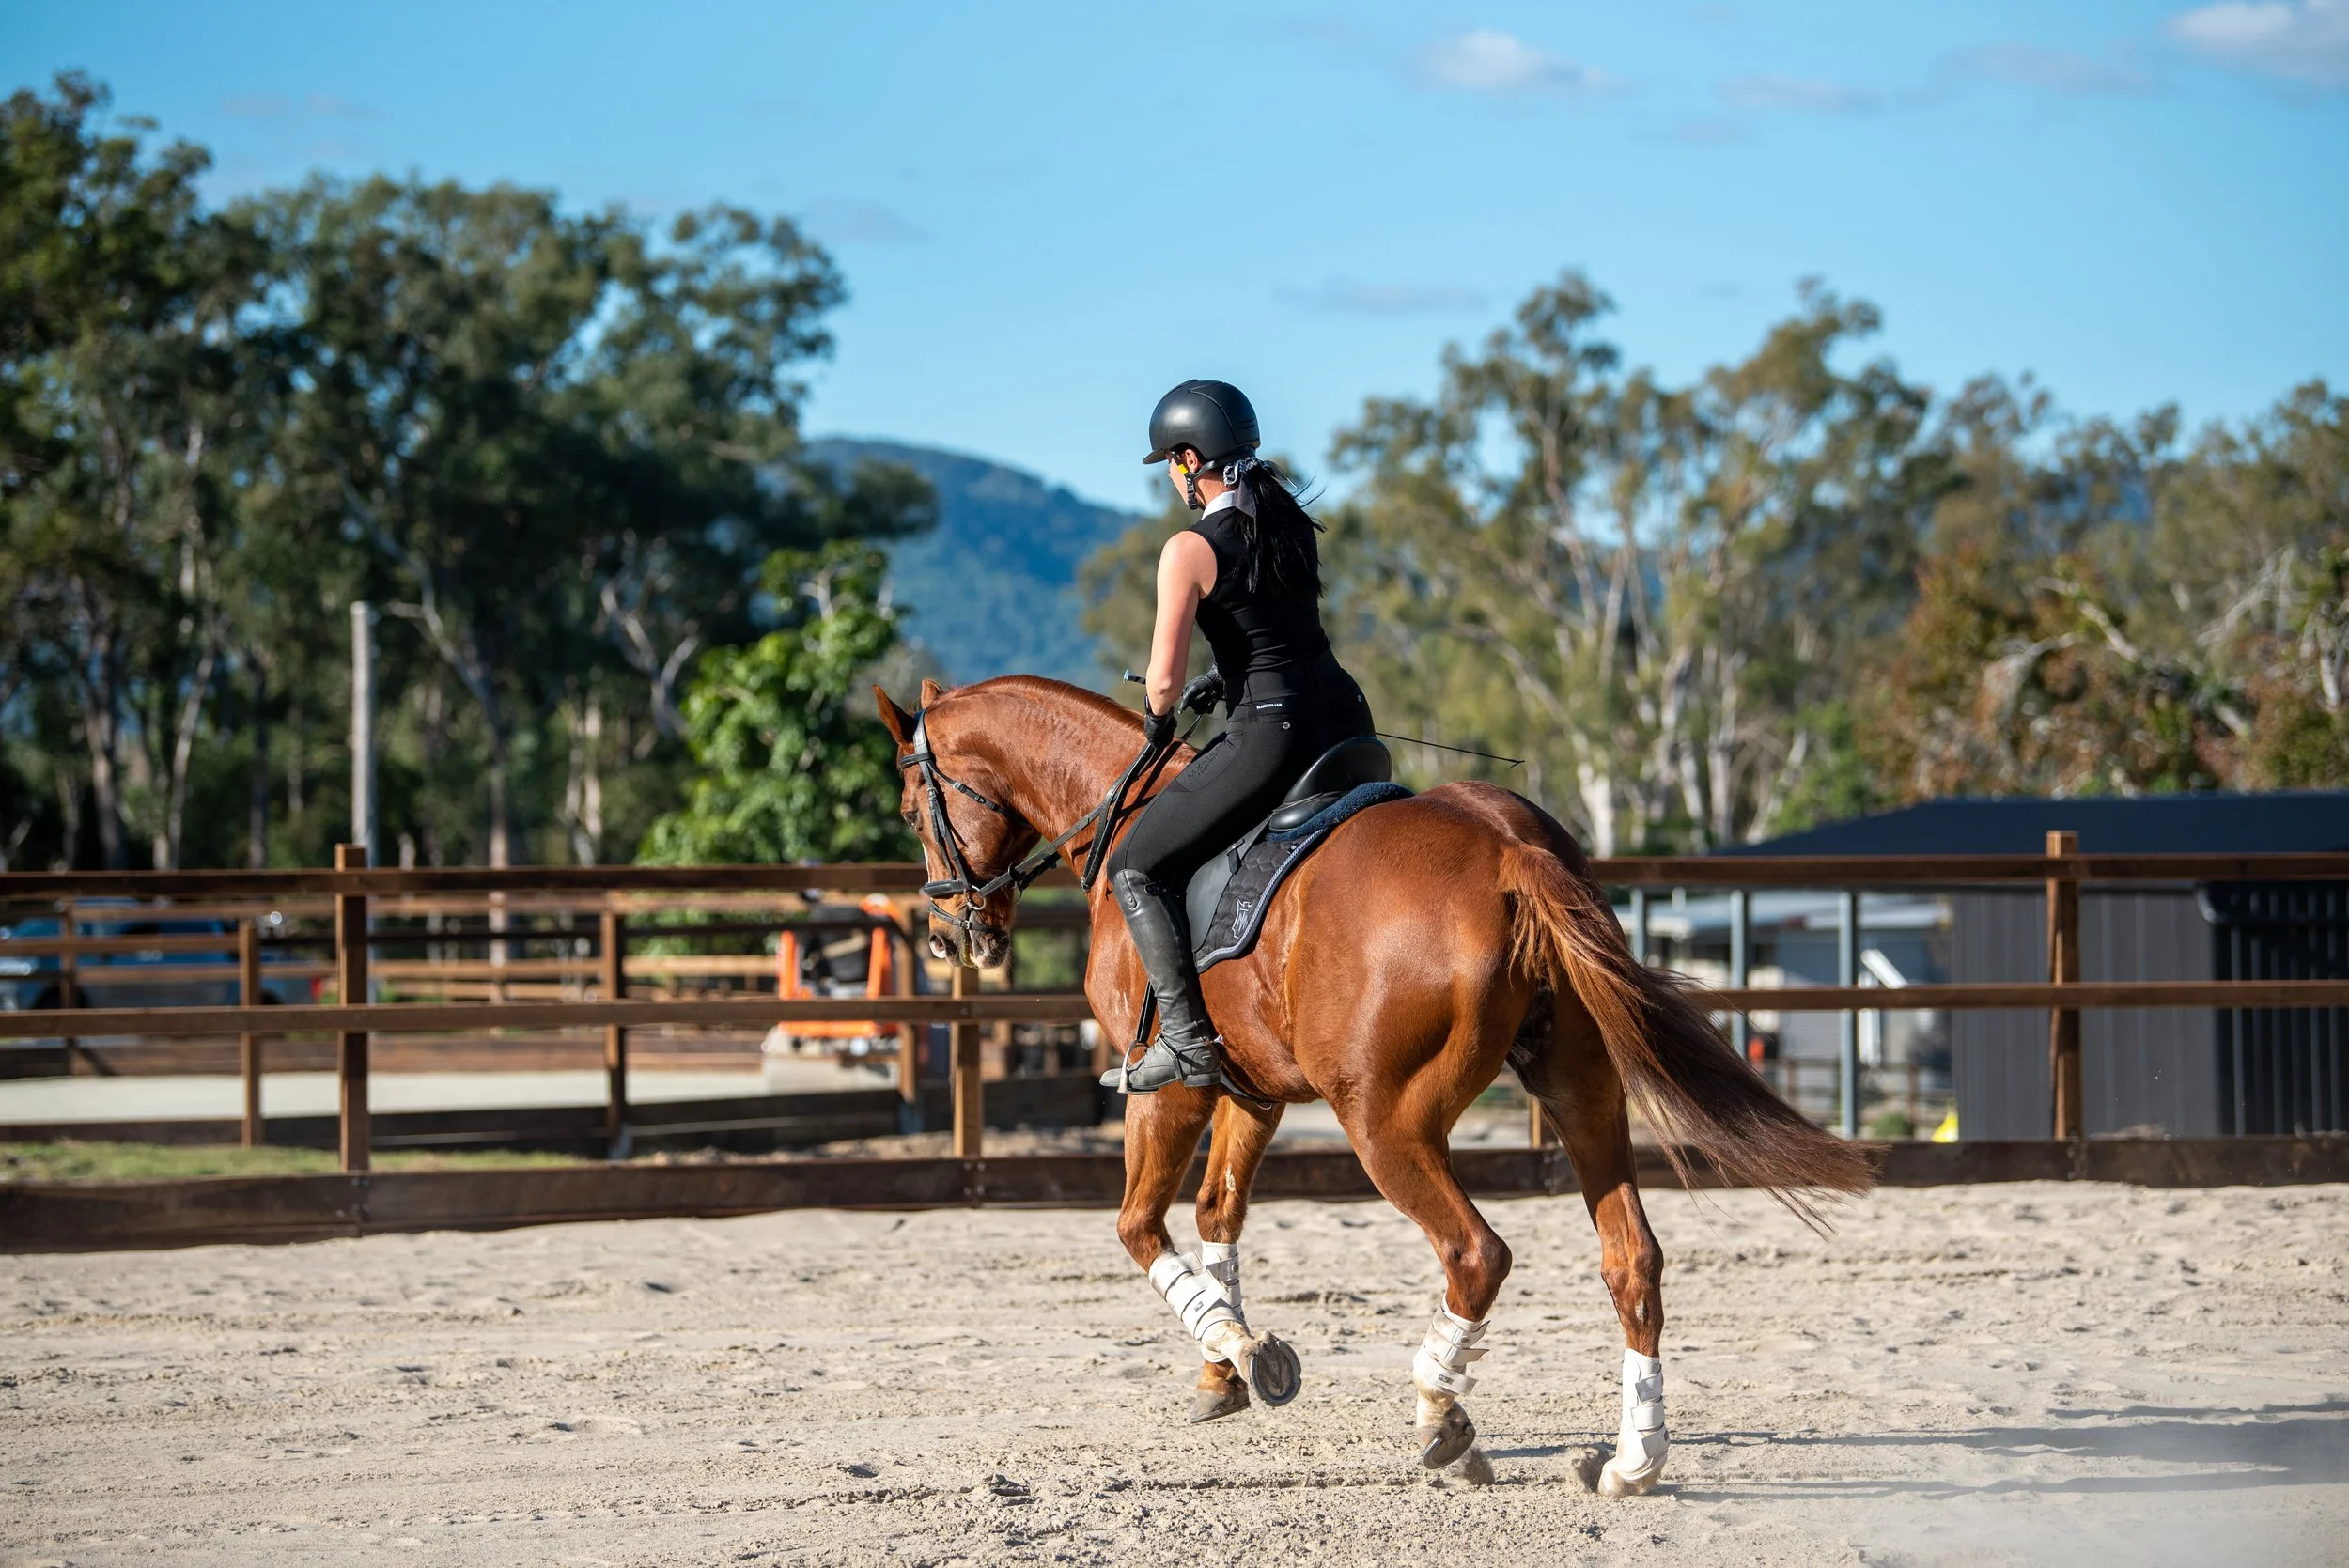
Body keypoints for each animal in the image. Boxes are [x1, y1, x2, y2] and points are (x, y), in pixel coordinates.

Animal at [876, 674, 1873, 1492]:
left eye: (914, 807)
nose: (954, 935)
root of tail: (1508, 850)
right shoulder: (1253, 1092)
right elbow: (1216, 1213)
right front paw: (1227, 1370)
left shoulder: (1170, 1087)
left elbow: (1137, 1225)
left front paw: (1238, 1347)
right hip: (1581, 1091)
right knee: (1632, 1258)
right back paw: (1634, 1458)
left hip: (1384, 1121)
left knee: (1476, 1254)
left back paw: (1443, 1417)